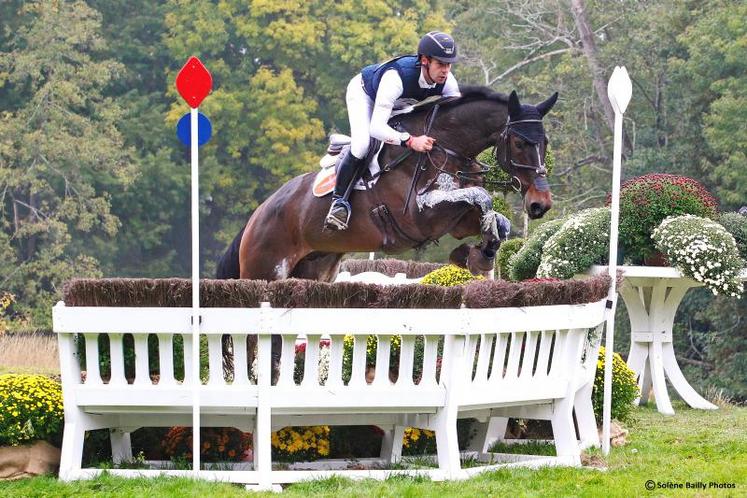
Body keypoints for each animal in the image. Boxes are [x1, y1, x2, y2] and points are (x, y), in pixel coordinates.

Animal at [215, 87, 556, 282]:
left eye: (545, 142)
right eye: (519, 142)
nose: (540, 204)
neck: (445, 146)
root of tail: (257, 215)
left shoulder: (457, 218)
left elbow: (495, 218)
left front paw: (477, 254)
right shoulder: (421, 216)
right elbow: (482, 196)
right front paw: (476, 256)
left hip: (316, 270)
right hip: (264, 270)